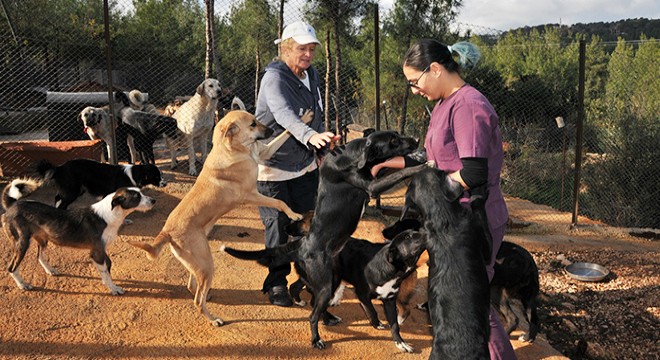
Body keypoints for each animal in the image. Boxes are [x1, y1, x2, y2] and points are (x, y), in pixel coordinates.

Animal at [0, 178, 155, 296]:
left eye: (142, 193)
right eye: (137, 197)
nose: (153, 200)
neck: (109, 215)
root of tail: (13, 205)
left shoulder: (101, 249)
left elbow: (108, 266)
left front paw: (107, 282)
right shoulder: (97, 252)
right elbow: (105, 271)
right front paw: (113, 288)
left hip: (42, 239)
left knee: (40, 256)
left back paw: (50, 270)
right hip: (21, 242)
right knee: (11, 267)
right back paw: (23, 285)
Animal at [36, 158, 165, 211]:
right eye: (156, 177)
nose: (165, 183)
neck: (134, 174)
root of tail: (59, 168)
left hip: (73, 190)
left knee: (58, 198)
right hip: (72, 191)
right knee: (62, 203)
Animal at [131, 109, 312, 326]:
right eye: (253, 124)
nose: (270, 129)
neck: (232, 150)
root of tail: (166, 232)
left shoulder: (265, 152)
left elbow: (285, 134)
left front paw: (305, 119)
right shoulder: (251, 195)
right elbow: (280, 202)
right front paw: (294, 213)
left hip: (198, 264)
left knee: (192, 287)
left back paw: (207, 296)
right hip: (206, 264)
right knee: (197, 300)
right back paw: (214, 319)